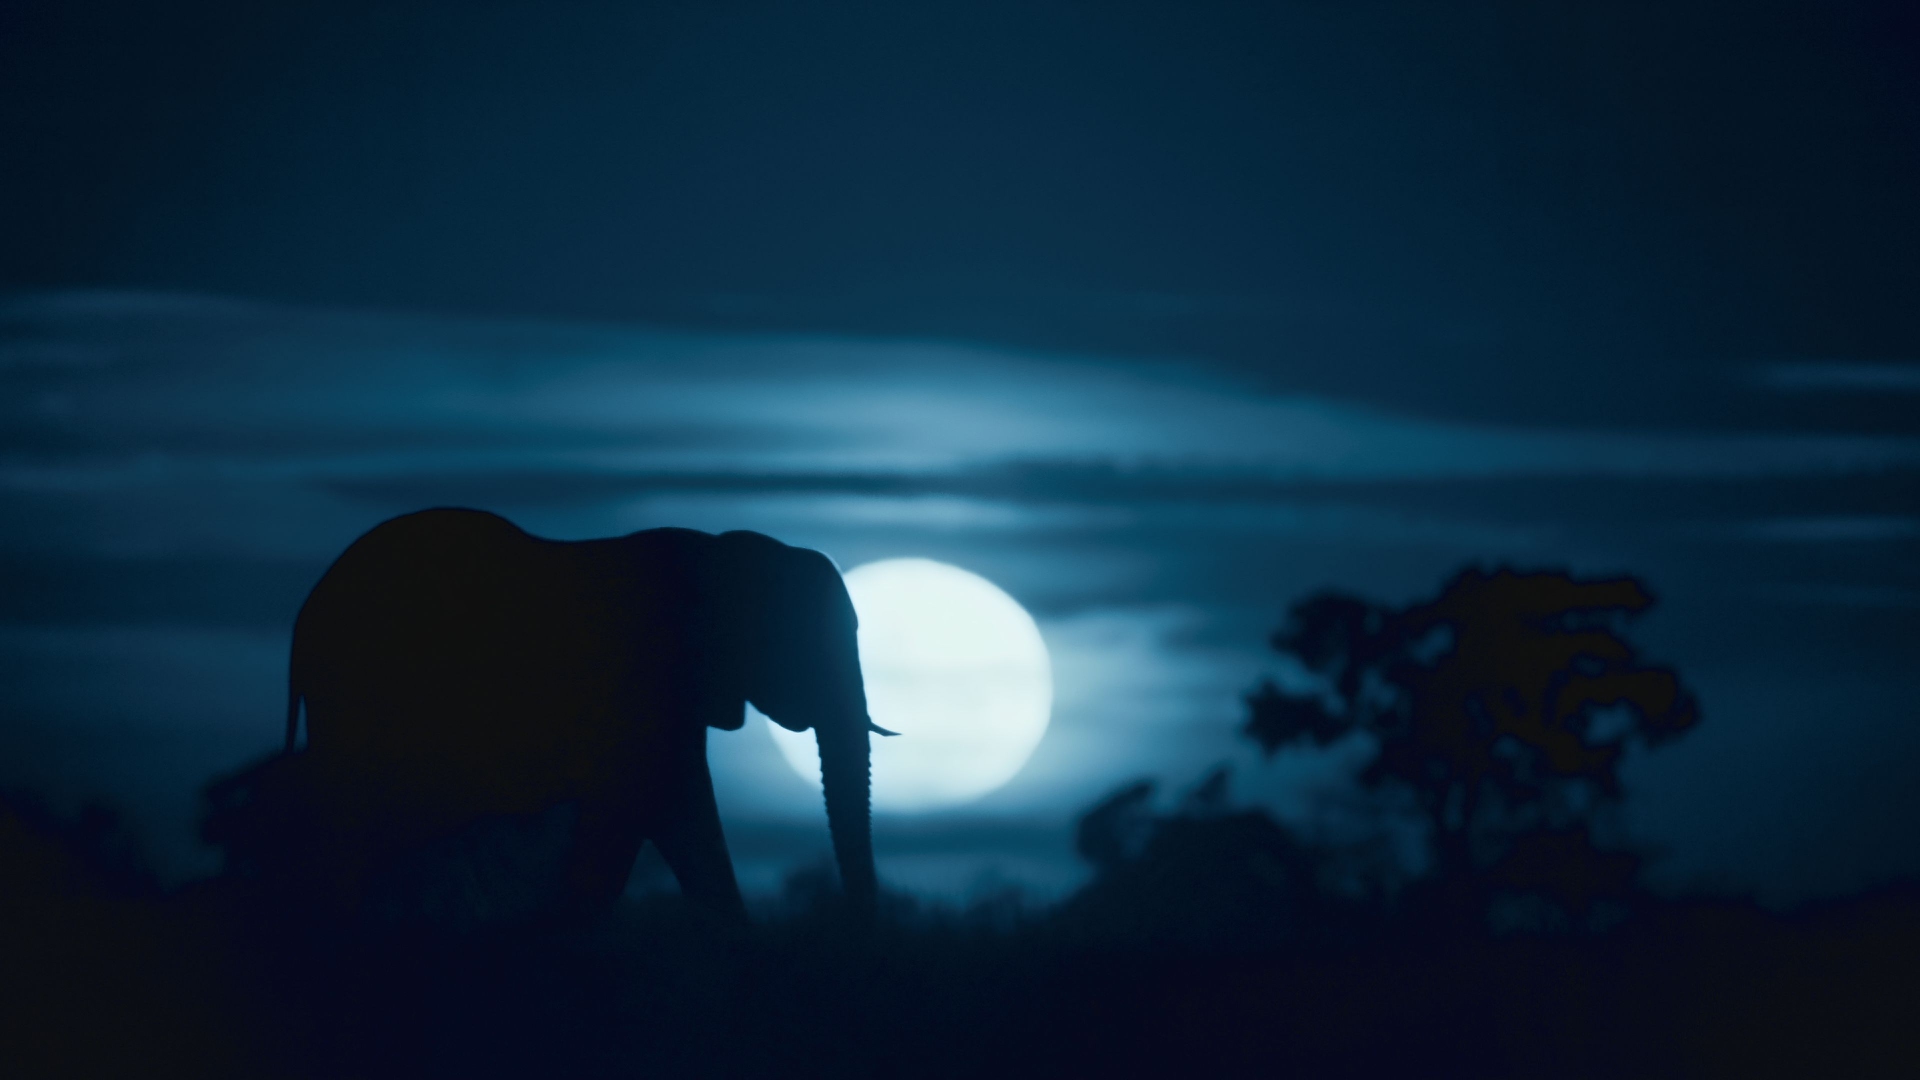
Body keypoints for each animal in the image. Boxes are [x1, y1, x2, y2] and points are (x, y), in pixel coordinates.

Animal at [278, 507, 887, 924]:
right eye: (801, 641)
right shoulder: (643, 683)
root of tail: (303, 621)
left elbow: (680, 819)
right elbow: (651, 809)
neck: (713, 554)